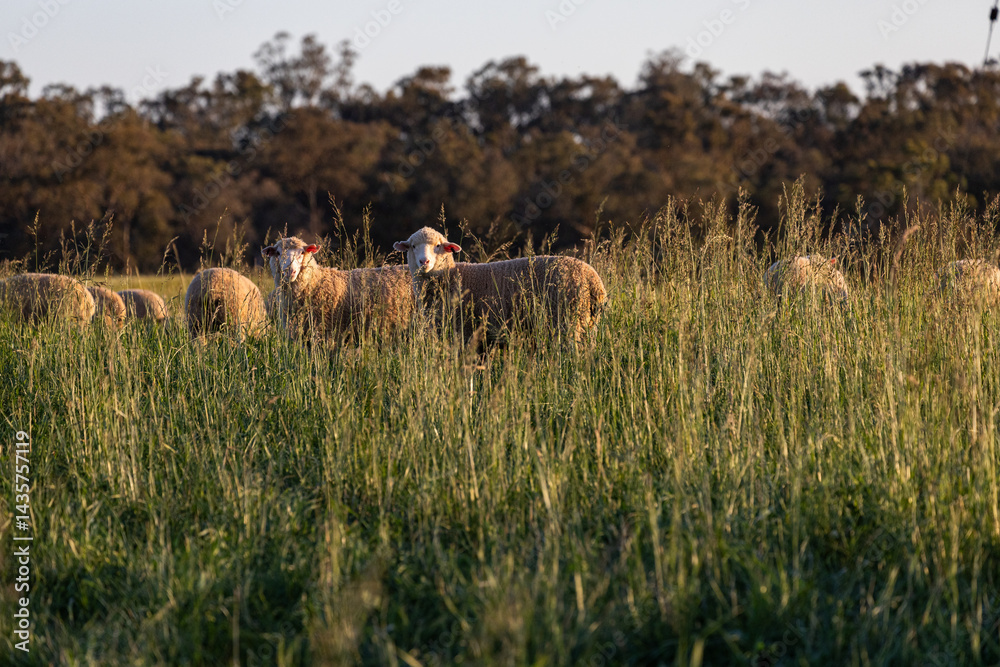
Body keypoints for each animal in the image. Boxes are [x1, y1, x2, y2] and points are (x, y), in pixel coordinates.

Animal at [393, 226, 607, 345]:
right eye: (412, 246)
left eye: (438, 246)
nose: (424, 262)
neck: (452, 276)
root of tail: (593, 280)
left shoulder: (464, 332)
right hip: (589, 323)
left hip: (569, 321)